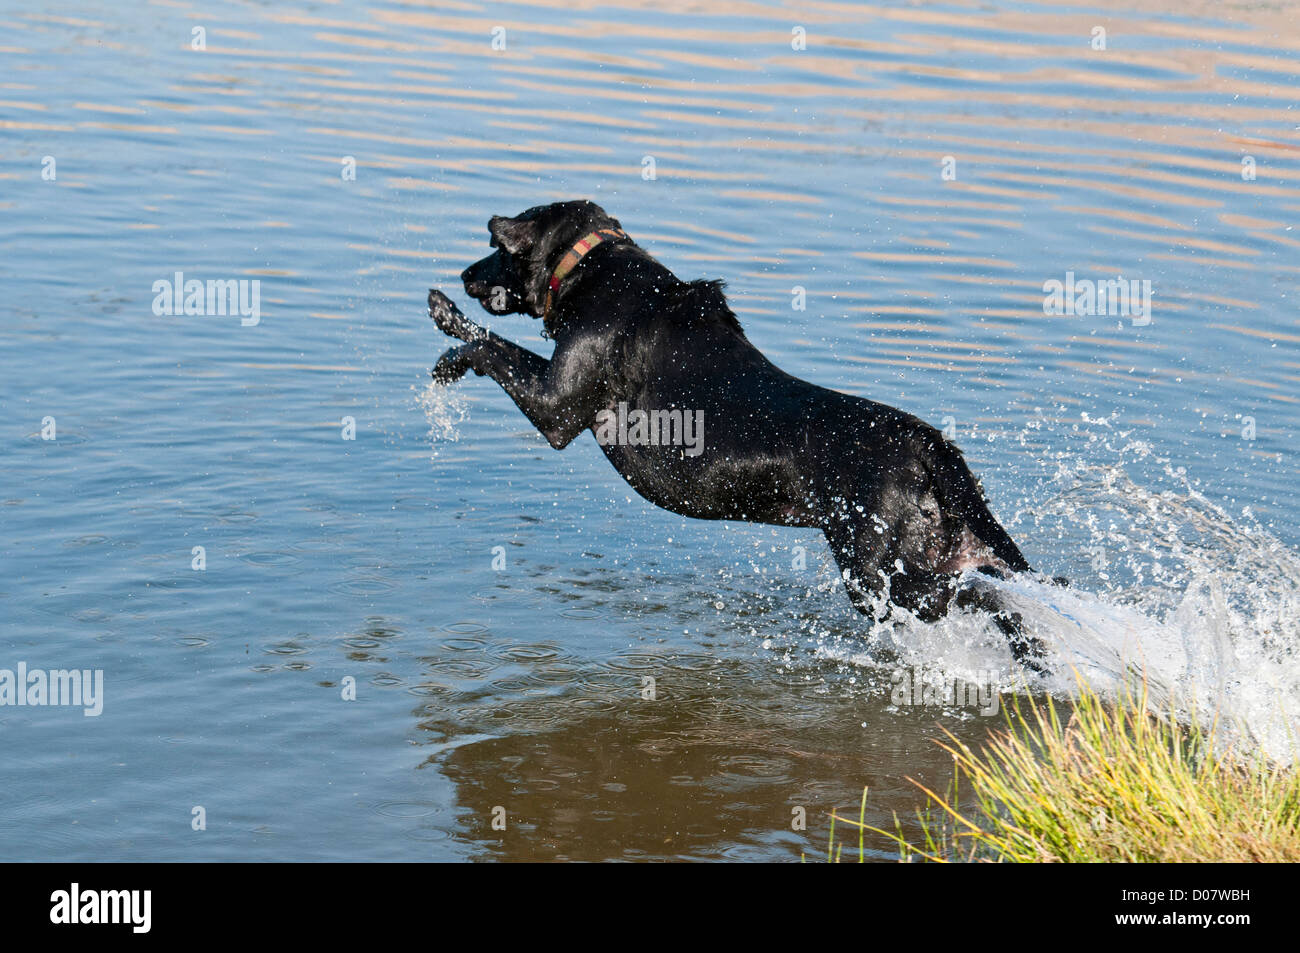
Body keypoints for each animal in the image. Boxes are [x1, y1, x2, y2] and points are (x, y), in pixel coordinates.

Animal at [431, 197, 1050, 665]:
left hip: (882, 573)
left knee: (975, 599)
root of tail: (929, 444)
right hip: (944, 547)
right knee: (998, 590)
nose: (464, 273)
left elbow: (492, 345)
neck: (593, 266)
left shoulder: (556, 409)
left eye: (497, 249)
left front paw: (445, 322)